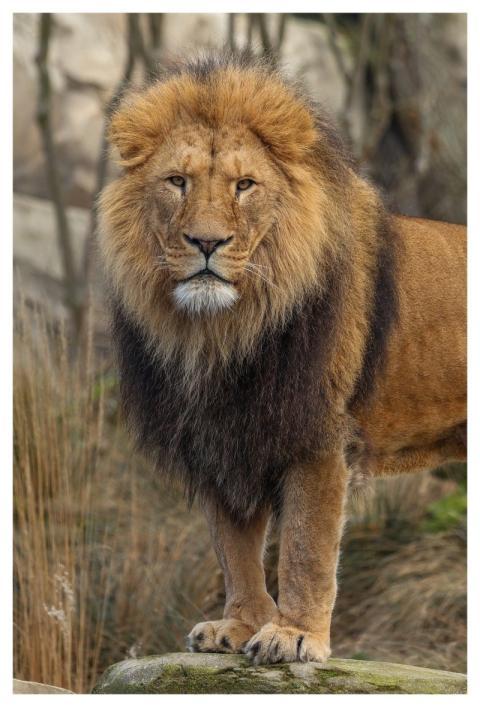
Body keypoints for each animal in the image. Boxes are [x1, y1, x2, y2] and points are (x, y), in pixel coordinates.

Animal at [98, 51, 466, 665]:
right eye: (177, 181)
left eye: (244, 185)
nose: (206, 242)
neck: (220, 335)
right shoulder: (222, 437)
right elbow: (235, 549)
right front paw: (239, 625)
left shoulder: (315, 434)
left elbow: (304, 547)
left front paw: (294, 634)